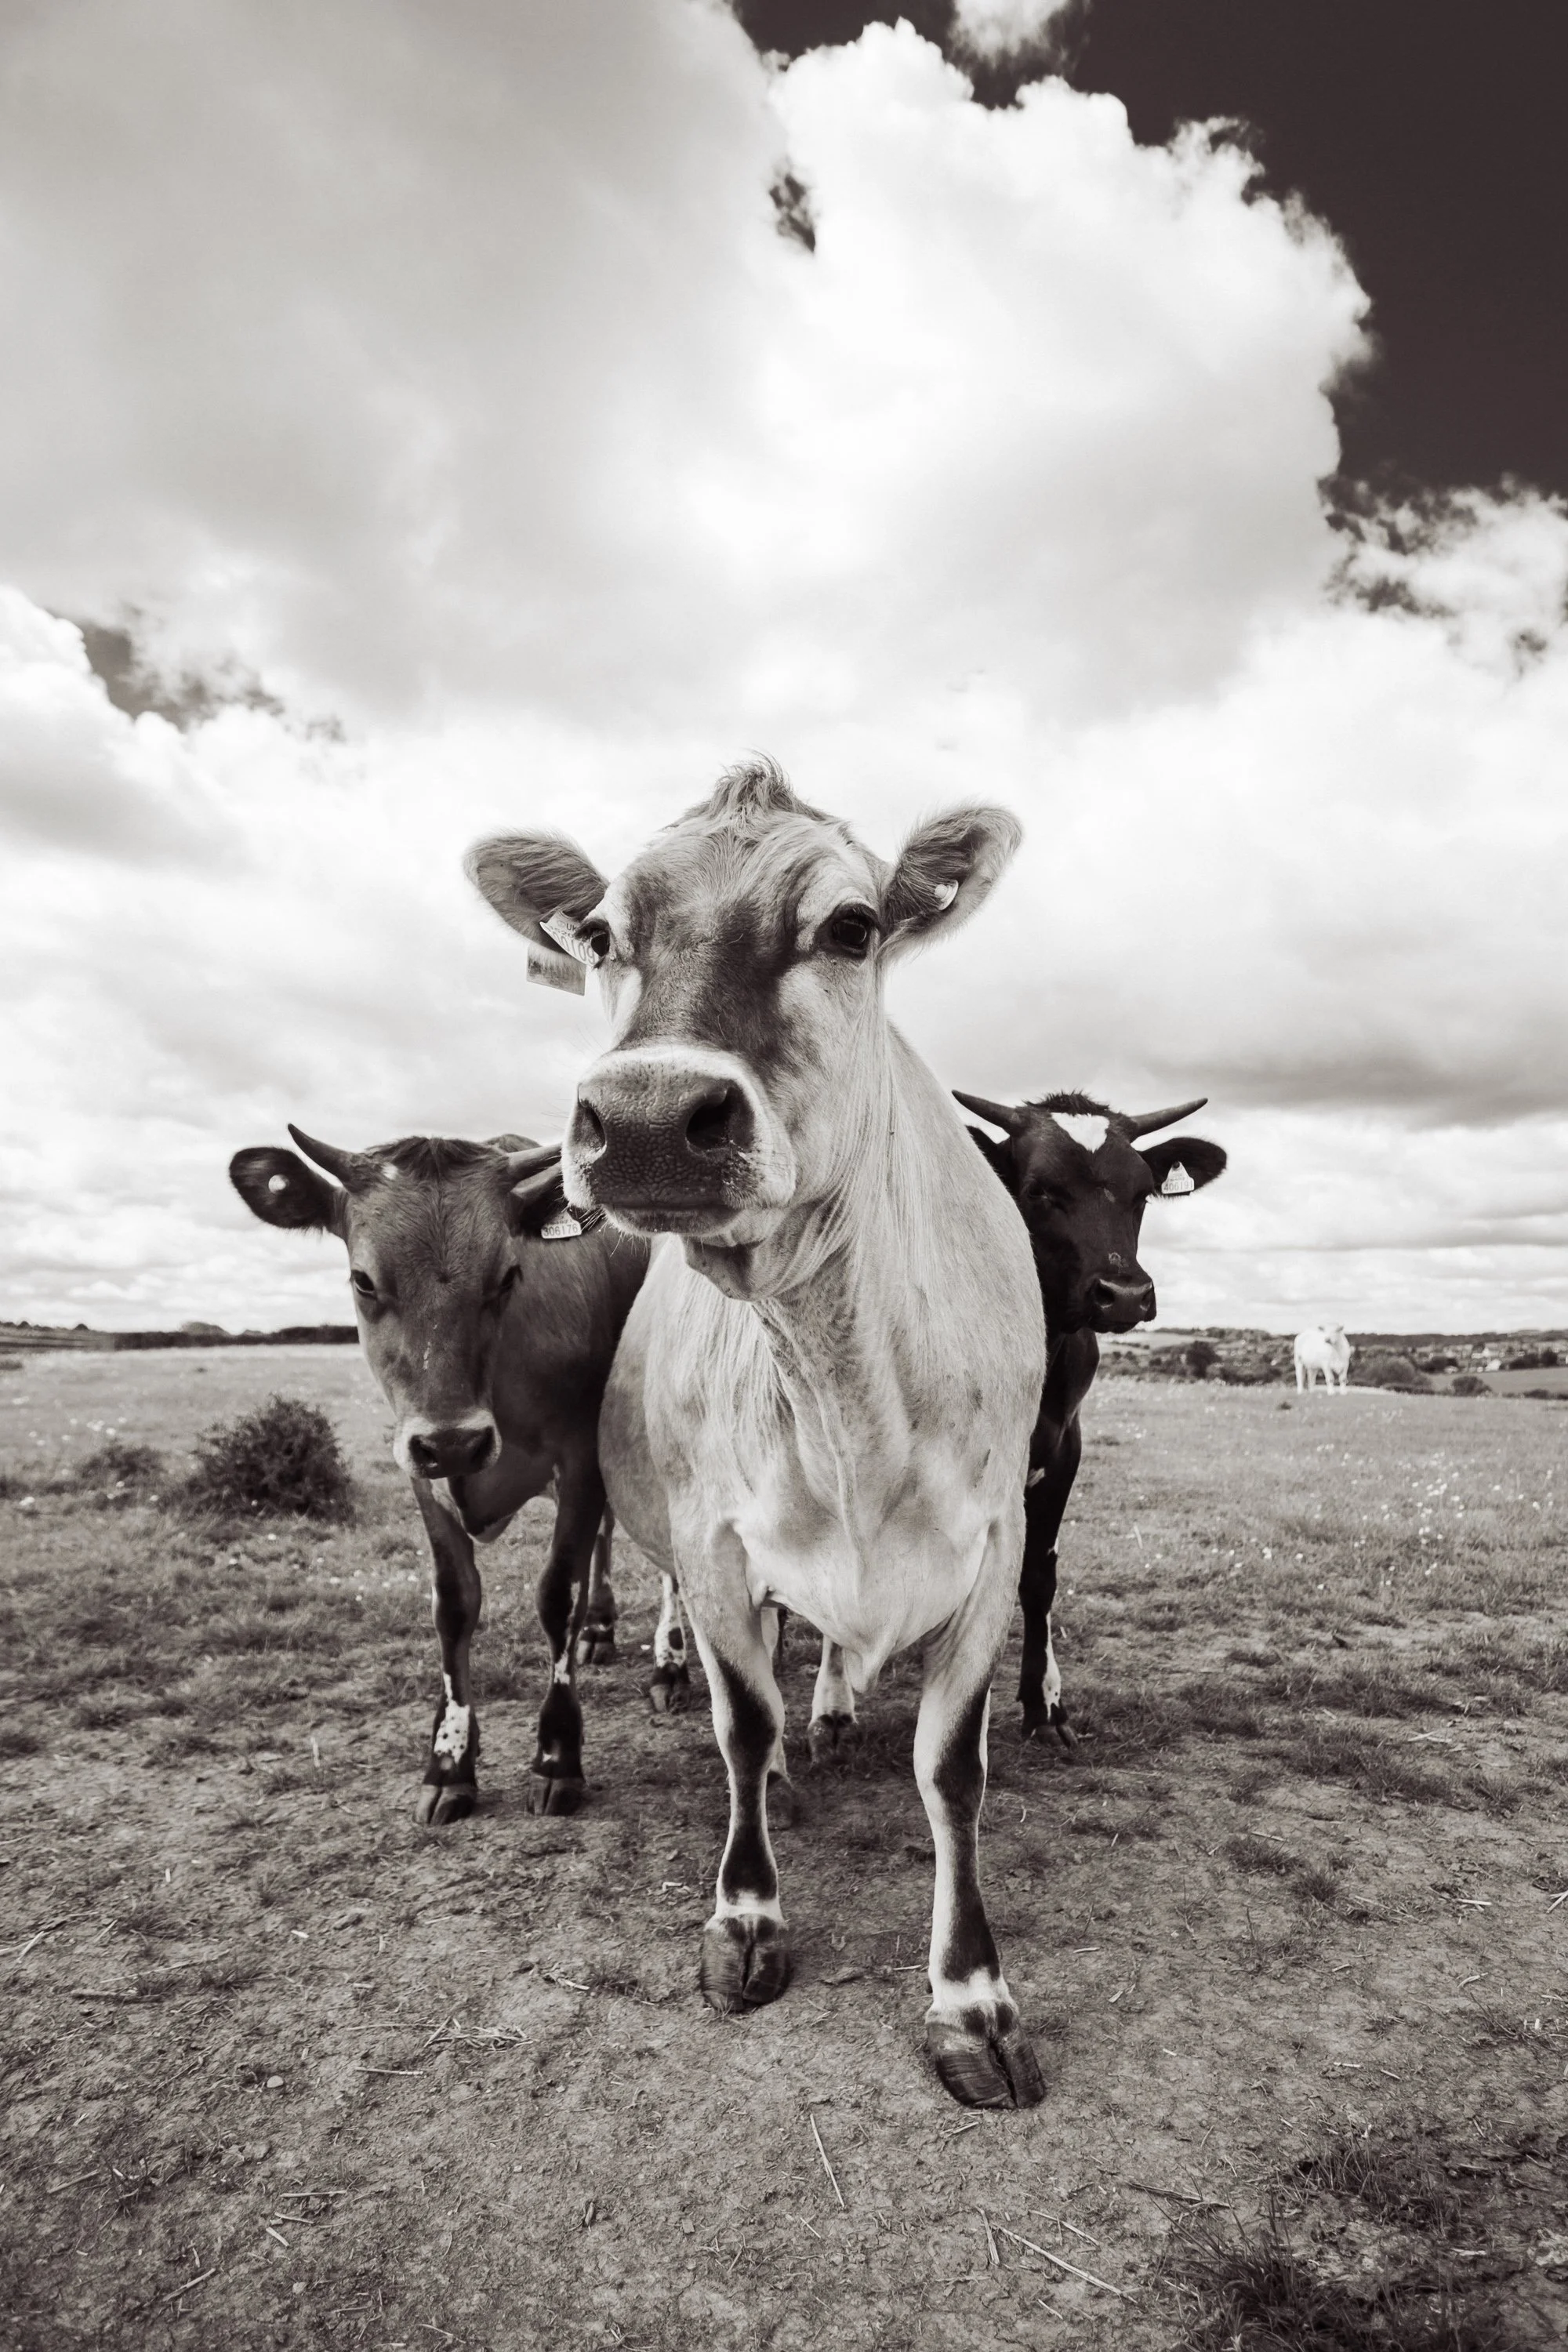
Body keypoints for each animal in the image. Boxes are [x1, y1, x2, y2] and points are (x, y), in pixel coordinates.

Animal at [229, 1129, 648, 1822]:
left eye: (507, 1275)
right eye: (363, 1280)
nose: (456, 1442)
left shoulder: (582, 1459)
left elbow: (556, 1595)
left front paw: (557, 1754)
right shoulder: (422, 1473)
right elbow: (454, 1605)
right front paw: (450, 1761)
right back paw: (600, 1630)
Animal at [468, 759, 1048, 2109]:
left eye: (853, 925)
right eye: (600, 936)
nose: (644, 1116)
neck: (847, 1385)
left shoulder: (992, 1552)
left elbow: (953, 1772)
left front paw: (970, 1996)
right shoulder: (718, 1542)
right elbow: (738, 1725)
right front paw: (745, 1914)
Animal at [951, 1091, 1228, 1741]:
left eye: (1142, 1193)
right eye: (1039, 1191)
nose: (1124, 1294)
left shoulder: (1061, 1450)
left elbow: (1037, 1576)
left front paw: (1043, 1702)